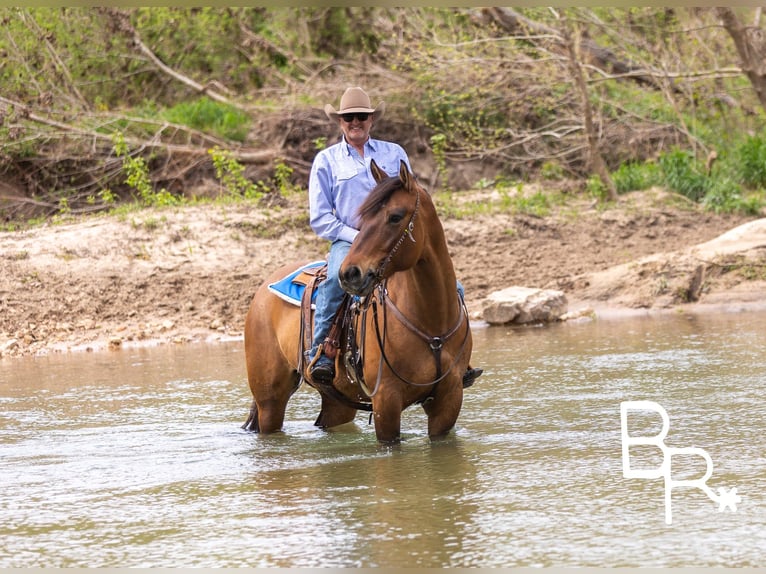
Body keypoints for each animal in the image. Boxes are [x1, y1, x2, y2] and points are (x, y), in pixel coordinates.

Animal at [243, 159, 472, 443]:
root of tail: (263, 290)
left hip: (338, 401)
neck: (432, 324)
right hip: (270, 400)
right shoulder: (386, 401)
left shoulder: (448, 402)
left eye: (395, 216)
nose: (349, 273)